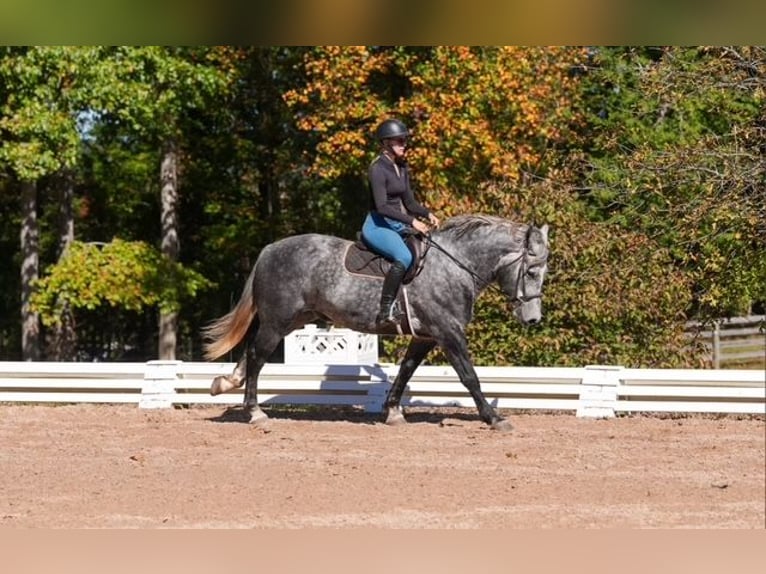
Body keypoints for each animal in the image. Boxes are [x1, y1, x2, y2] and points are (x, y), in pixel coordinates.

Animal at [202, 214, 550, 431]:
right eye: (532, 271)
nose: (533, 319)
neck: (455, 265)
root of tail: (270, 249)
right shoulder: (448, 332)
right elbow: (469, 377)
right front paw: (494, 417)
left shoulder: (425, 336)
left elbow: (406, 371)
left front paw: (393, 412)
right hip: (278, 321)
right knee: (258, 356)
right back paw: (255, 412)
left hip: (294, 319)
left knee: (252, 351)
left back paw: (225, 383)